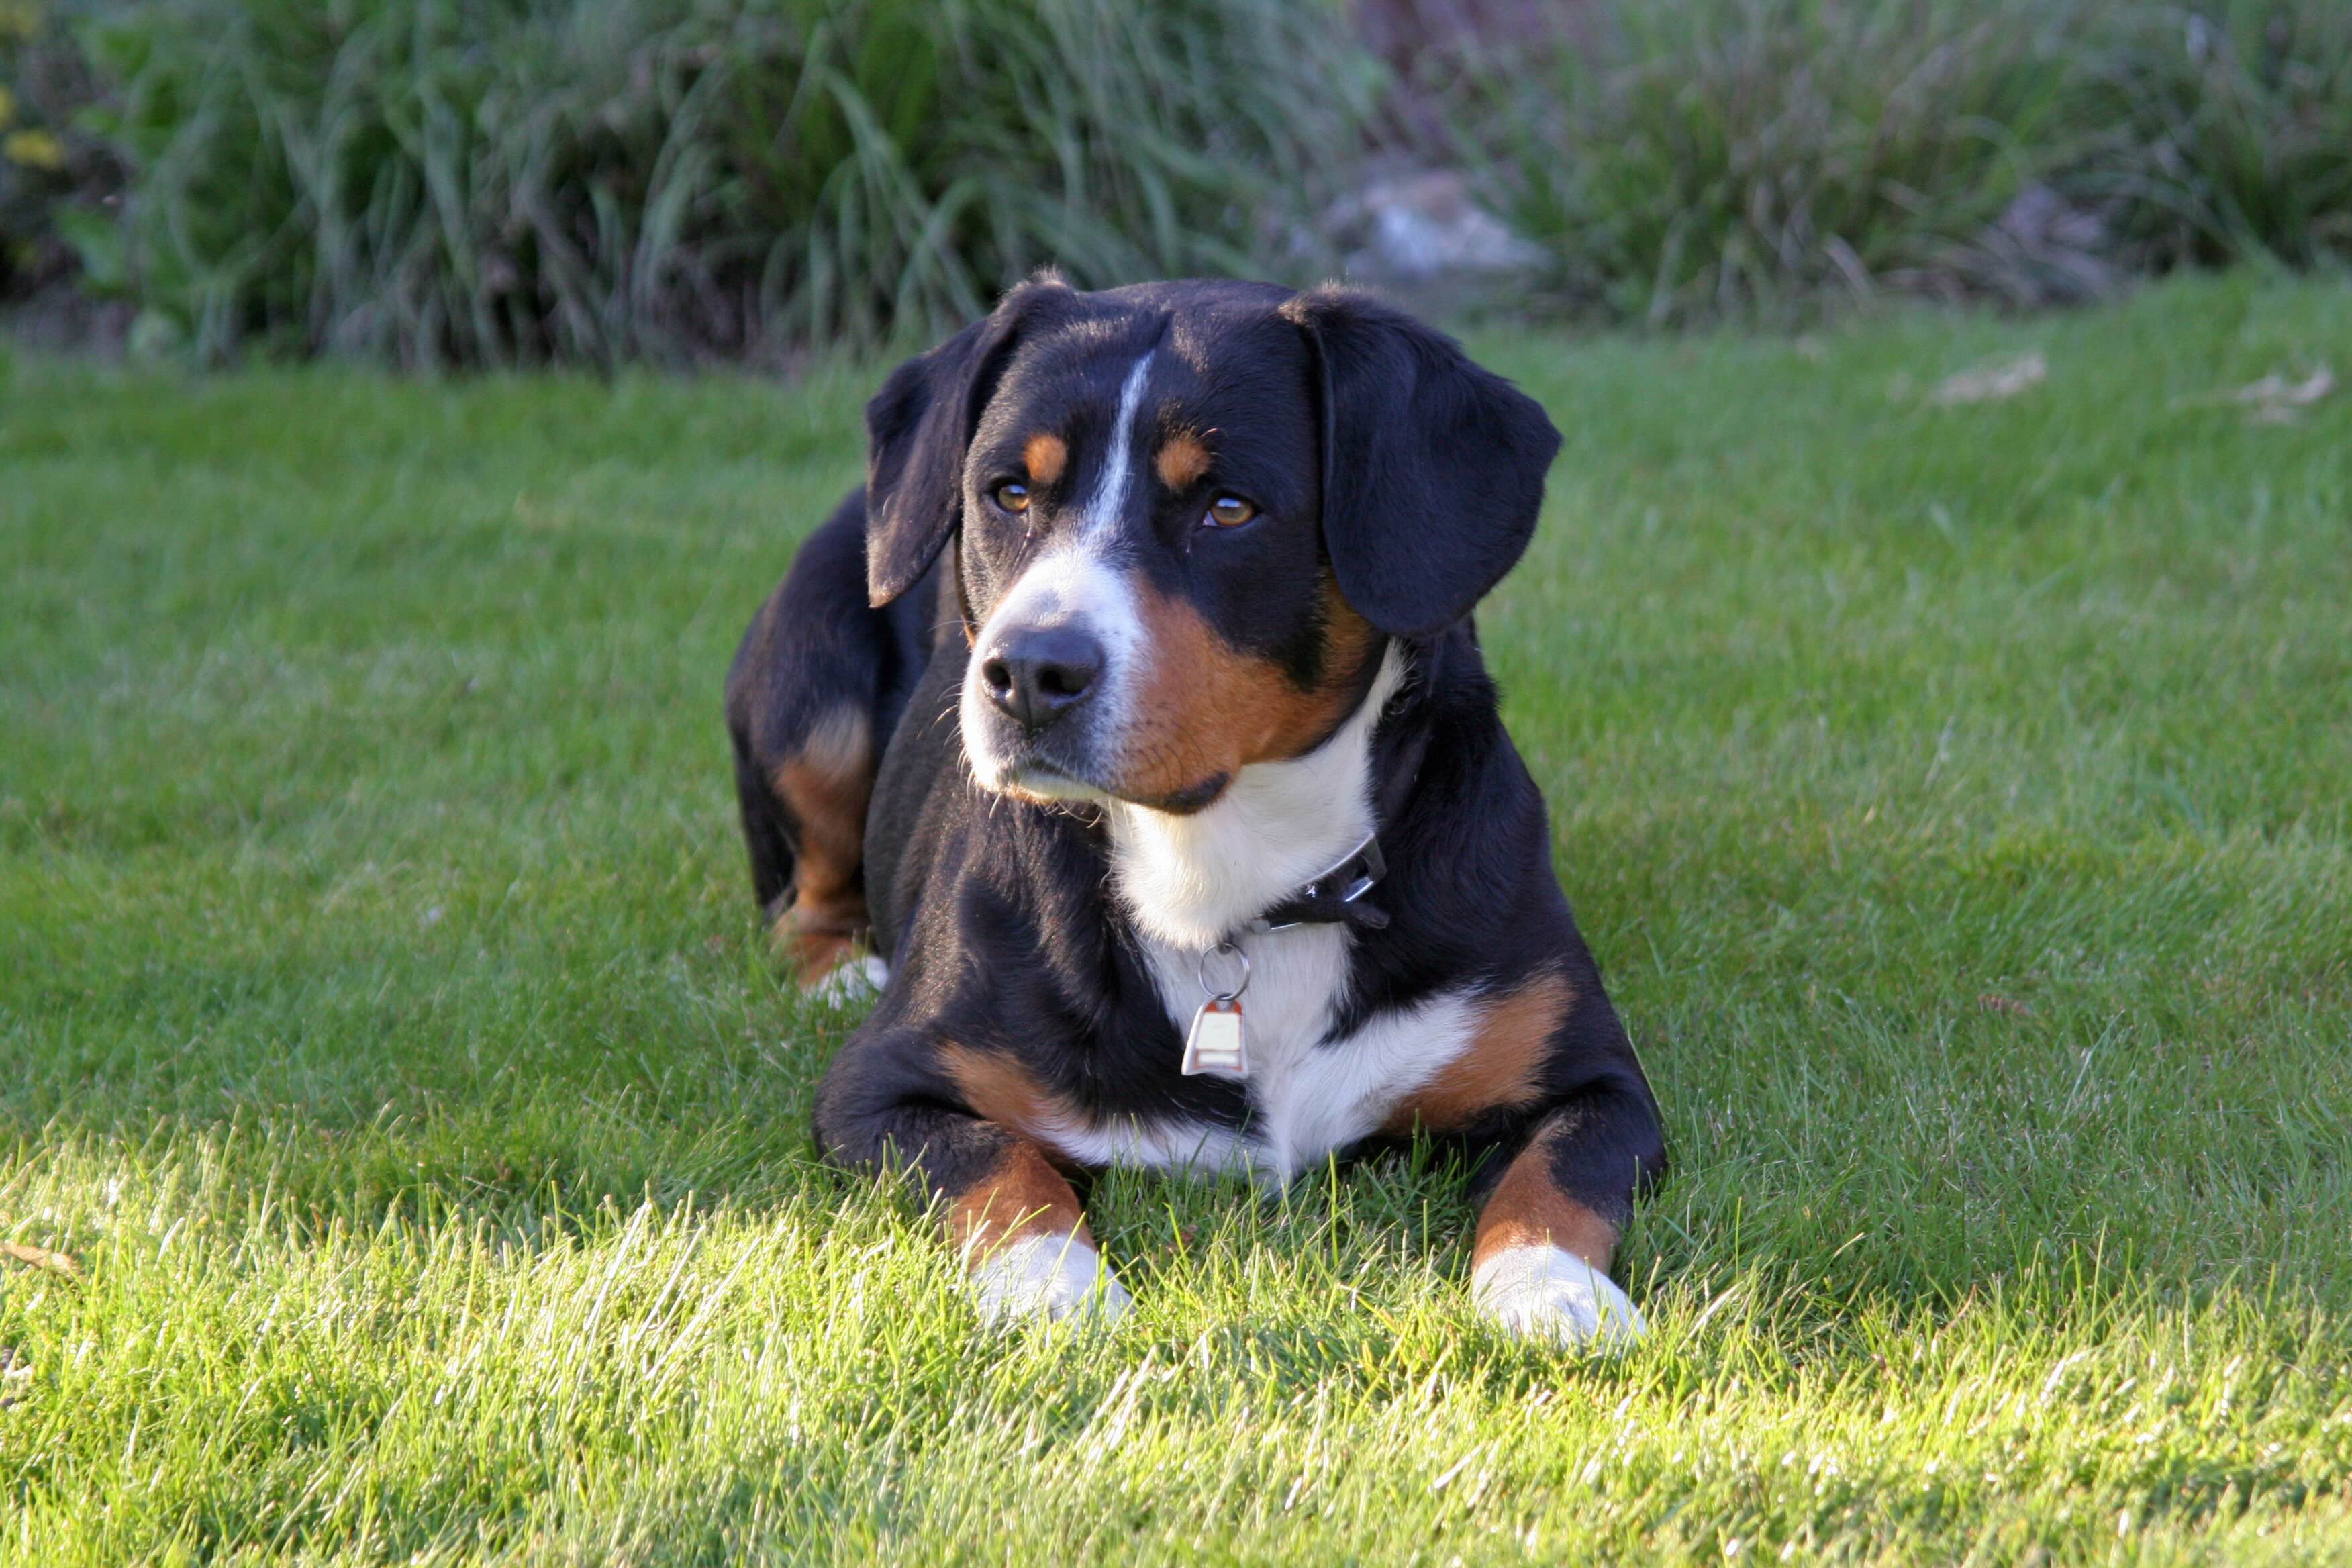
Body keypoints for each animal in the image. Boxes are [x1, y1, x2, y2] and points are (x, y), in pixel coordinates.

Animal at [724, 273, 1665, 1354]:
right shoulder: (882, 1088)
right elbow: (1002, 1171)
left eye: (1227, 508)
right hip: (815, 695)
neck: (1230, 881)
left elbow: (1556, 1177)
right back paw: (839, 969)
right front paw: (1054, 1289)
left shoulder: (1591, 1075)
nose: (1029, 673)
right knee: (801, 895)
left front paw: (1550, 1292)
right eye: (1010, 493)